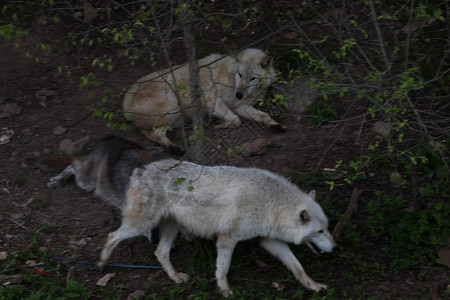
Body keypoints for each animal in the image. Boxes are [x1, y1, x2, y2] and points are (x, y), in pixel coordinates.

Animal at [98, 158, 338, 296]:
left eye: (327, 228)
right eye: (320, 231)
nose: (335, 247)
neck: (270, 203)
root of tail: (141, 168)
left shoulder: (269, 241)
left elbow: (298, 267)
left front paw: (314, 286)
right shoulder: (226, 239)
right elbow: (222, 269)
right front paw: (225, 291)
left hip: (171, 228)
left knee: (160, 252)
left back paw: (176, 278)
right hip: (140, 225)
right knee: (111, 235)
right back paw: (102, 264)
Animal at [123, 49, 284, 154]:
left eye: (252, 78)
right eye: (240, 75)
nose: (238, 95)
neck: (231, 80)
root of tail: (126, 99)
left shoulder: (241, 107)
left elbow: (264, 115)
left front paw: (276, 125)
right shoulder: (213, 99)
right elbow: (236, 120)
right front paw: (219, 125)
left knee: (148, 131)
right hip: (173, 106)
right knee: (155, 132)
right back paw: (175, 148)